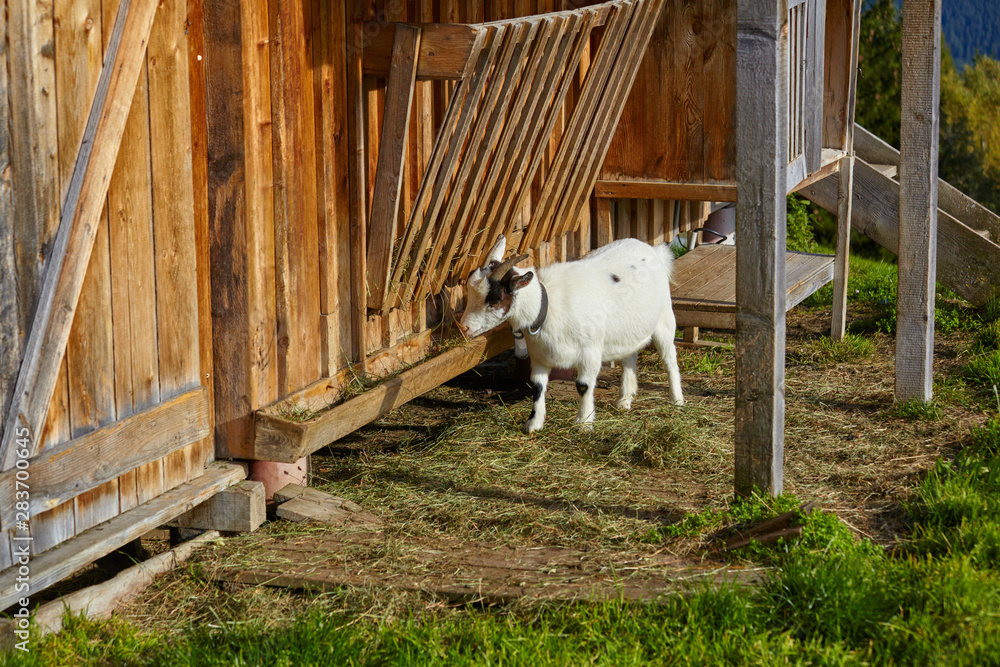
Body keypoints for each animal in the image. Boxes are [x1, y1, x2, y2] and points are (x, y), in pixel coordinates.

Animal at [459, 236, 683, 433]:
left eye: (495, 300)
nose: (464, 328)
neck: (547, 306)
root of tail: (653, 250)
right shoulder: (540, 356)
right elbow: (537, 386)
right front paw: (533, 424)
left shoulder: (590, 352)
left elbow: (583, 386)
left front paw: (583, 422)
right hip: (627, 330)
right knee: (629, 356)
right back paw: (624, 400)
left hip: (665, 319)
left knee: (670, 359)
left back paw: (677, 400)